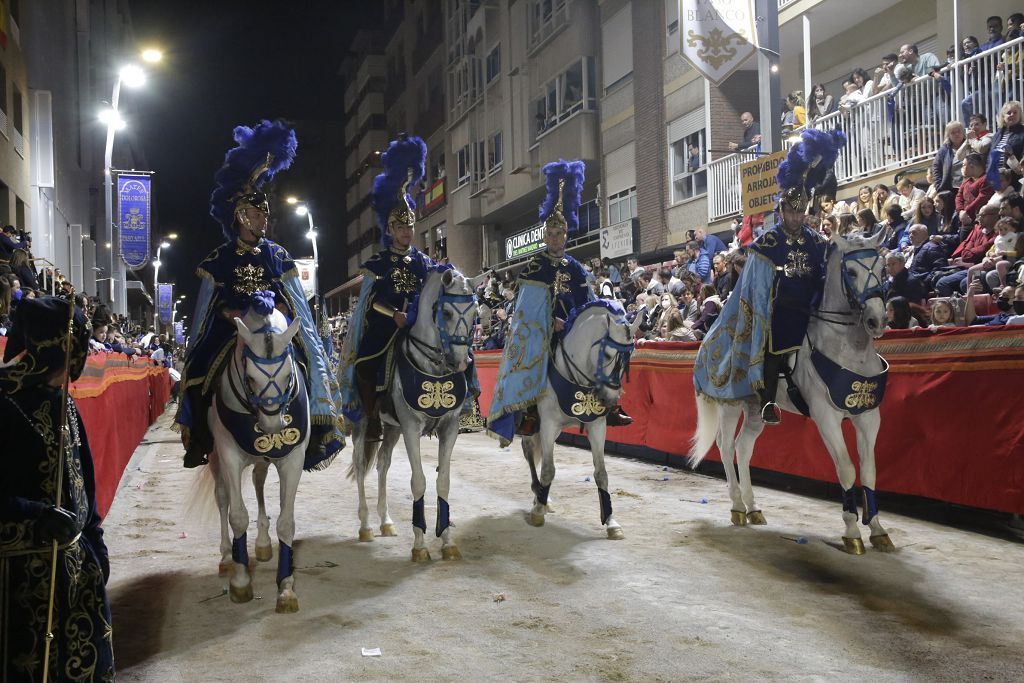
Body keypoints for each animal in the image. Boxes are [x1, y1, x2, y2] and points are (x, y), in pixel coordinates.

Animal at [204, 301, 307, 610]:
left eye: (288, 376)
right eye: (250, 378)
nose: (273, 427)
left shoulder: (292, 458)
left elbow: (287, 523)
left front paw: (286, 588)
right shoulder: (228, 455)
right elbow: (237, 516)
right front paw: (240, 582)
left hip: (262, 459)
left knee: (259, 482)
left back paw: (262, 543)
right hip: (215, 458)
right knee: (222, 497)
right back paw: (228, 557)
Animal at [348, 266, 483, 561]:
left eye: (475, 311)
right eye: (446, 312)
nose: (462, 361)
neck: (434, 367)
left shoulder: (449, 427)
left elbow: (443, 482)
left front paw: (447, 541)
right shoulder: (411, 426)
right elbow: (419, 481)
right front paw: (420, 546)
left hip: (392, 428)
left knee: (383, 463)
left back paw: (385, 522)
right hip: (363, 423)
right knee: (362, 465)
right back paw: (365, 526)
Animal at [528, 305, 638, 540]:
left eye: (630, 356)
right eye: (608, 354)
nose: (610, 399)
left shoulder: (597, 426)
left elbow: (601, 473)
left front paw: (611, 522)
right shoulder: (548, 424)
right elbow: (548, 469)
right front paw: (538, 511)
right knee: (529, 453)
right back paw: (538, 495)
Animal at [688, 232, 897, 552]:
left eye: (883, 268)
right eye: (850, 272)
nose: (877, 321)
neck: (850, 351)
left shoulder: (868, 417)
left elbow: (869, 471)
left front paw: (877, 529)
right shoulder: (826, 418)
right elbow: (847, 469)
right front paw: (852, 531)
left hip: (755, 411)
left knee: (743, 448)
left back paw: (753, 507)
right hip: (730, 406)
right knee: (725, 448)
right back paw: (737, 507)